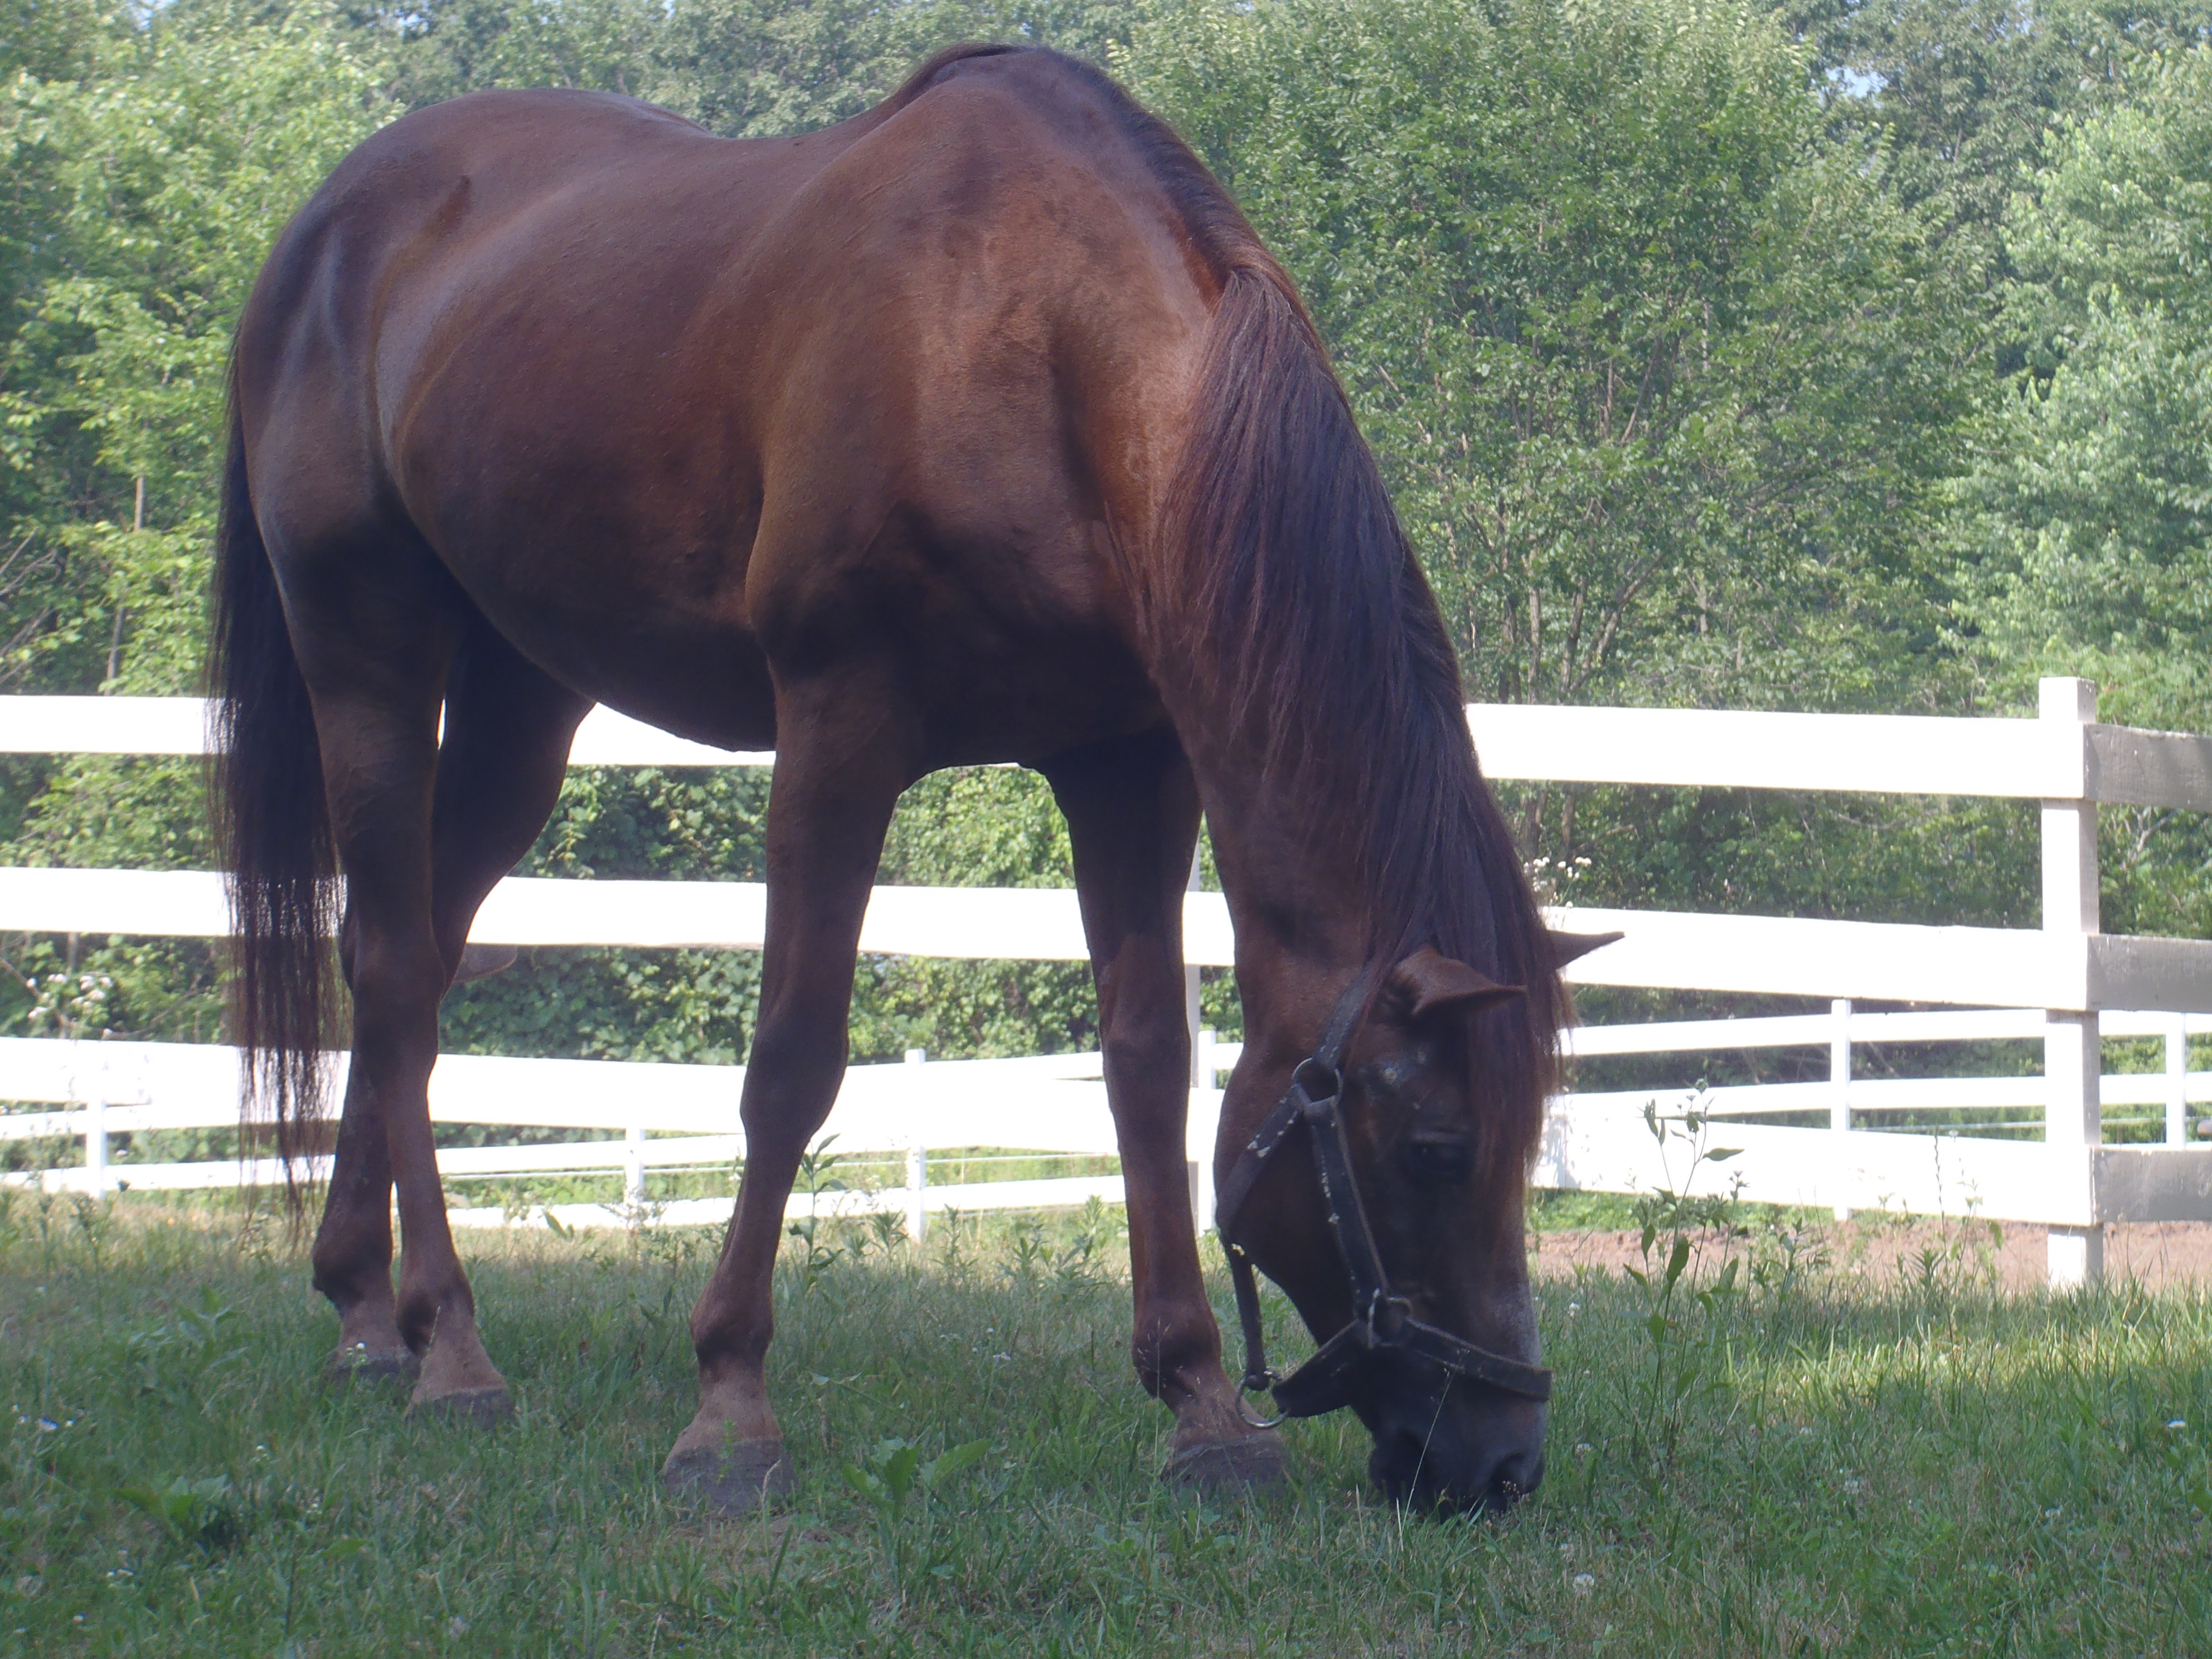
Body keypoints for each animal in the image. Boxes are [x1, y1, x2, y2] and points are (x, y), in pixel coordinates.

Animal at [212, 41, 1572, 1515]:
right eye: (1436, 1149)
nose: (1501, 1460)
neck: (1033, 341)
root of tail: (329, 219)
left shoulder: (1127, 765)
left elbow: (1147, 1065)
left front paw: (1201, 1404)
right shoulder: (836, 735)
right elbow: (792, 1063)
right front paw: (729, 1406)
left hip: (524, 705)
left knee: (402, 957)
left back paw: (365, 1309)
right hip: (368, 657)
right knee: (400, 966)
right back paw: (448, 1345)